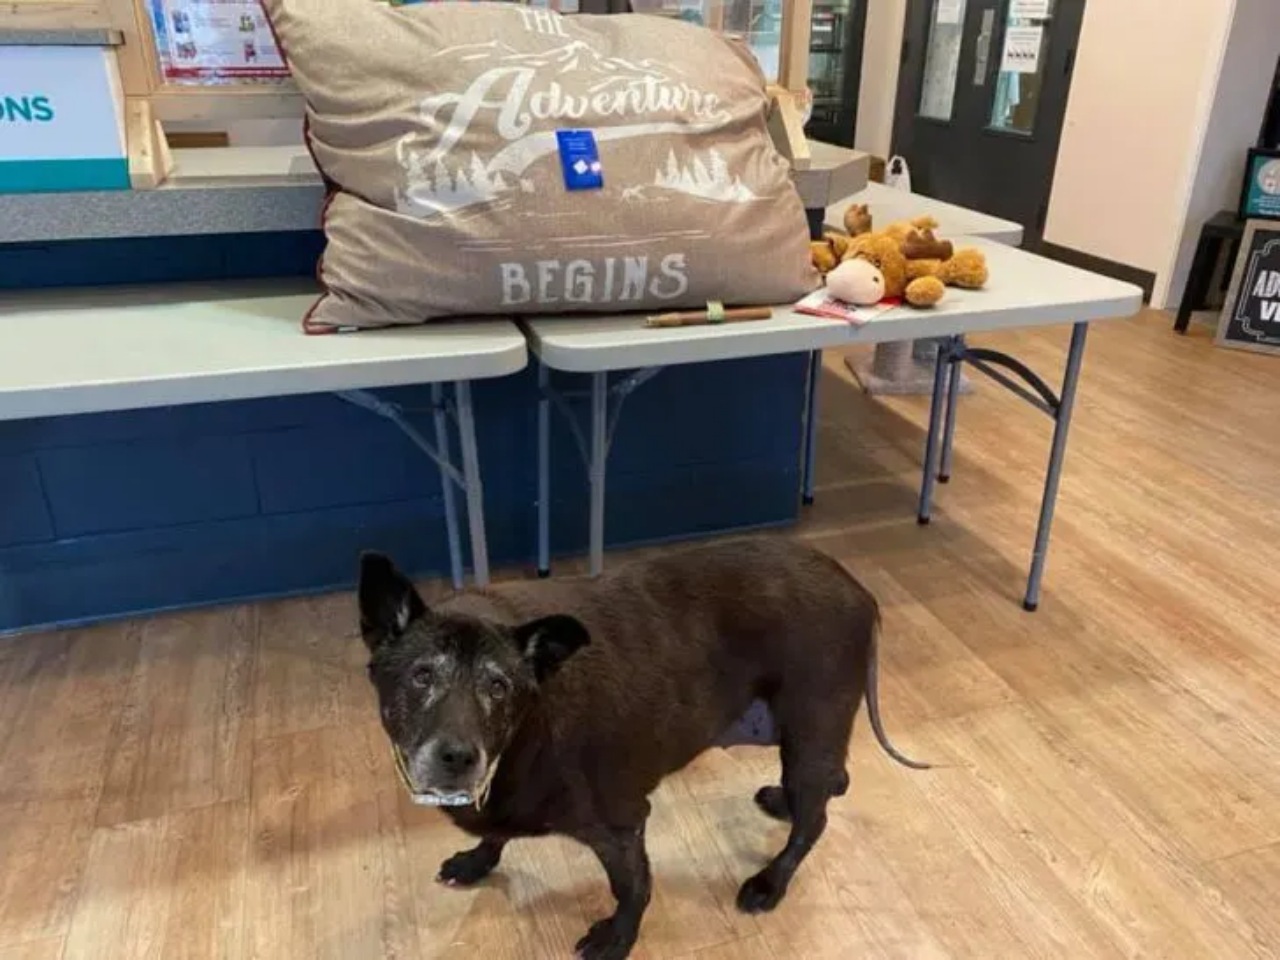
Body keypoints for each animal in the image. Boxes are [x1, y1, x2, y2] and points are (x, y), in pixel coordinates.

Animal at [355, 537, 926, 957]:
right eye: (422, 676)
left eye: (499, 687)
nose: (458, 757)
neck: (524, 732)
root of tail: (857, 588)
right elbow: (497, 834)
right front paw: (478, 860)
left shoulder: (621, 825)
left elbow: (632, 887)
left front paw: (618, 936)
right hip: (807, 740)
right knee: (833, 784)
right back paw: (783, 803)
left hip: (809, 734)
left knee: (815, 821)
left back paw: (770, 882)